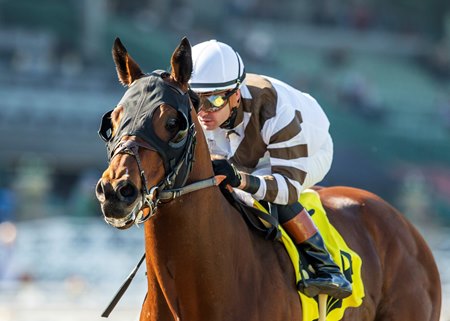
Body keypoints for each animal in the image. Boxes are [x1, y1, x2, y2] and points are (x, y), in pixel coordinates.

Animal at [93, 37, 442, 320]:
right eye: (113, 120)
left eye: (173, 123)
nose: (116, 190)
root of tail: (408, 228)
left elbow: (284, 187)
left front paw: (227, 172)